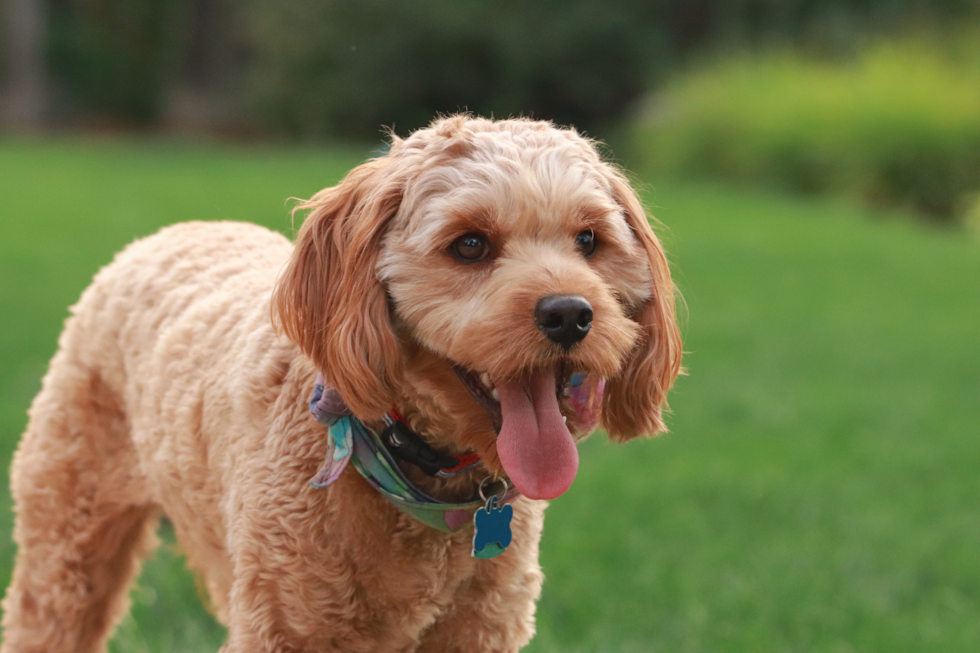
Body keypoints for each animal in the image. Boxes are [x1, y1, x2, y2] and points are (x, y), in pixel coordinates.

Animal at [1, 117, 680, 652]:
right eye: (469, 244)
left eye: (589, 239)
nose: (569, 314)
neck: (419, 474)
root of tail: (172, 231)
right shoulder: (285, 626)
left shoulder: (479, 631)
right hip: (67, 543)